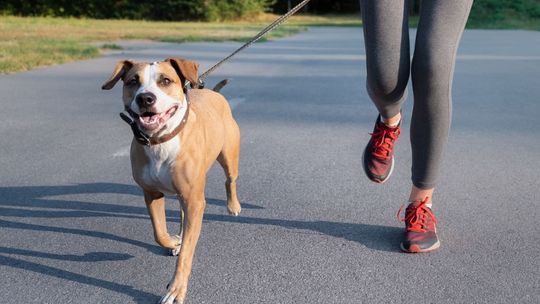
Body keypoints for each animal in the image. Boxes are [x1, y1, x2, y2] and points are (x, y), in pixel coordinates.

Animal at [102, 58, 242, 302]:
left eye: (165, 80)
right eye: (132, 81)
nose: (146, 98)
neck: (160, 141)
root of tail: (214, 94)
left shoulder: (195, 201)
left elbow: (187, 252)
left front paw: (176, 289)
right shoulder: (152, 194)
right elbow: (159, 232)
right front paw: (174, 241)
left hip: (229, 155)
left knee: (230, 180)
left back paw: (233, 206)